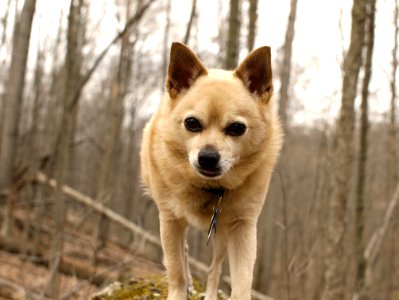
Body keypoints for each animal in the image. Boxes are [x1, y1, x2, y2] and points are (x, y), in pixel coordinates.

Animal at [141, 42, 284, 300]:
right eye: (192, 123)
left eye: (237, 128)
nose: (207, 157)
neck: (210, 189)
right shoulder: (169, 219)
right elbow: (175, 270)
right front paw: (180, 289)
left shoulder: (243, 228)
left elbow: (242, 282)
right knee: (184, 251)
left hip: (221, 235)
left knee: (214, 268)